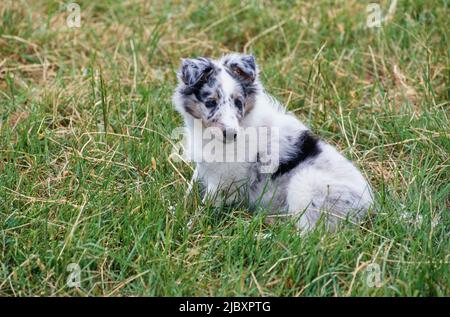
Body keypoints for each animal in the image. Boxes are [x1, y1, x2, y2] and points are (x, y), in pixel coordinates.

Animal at [172, 51, 372, 230]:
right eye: (210, 102)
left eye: (238, 102)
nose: (231, 134)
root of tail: (368, 207)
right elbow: (190, 190)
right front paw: (177, 209)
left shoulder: (225, 181)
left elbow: (206, 206)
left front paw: (189, 225)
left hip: (306, 185)